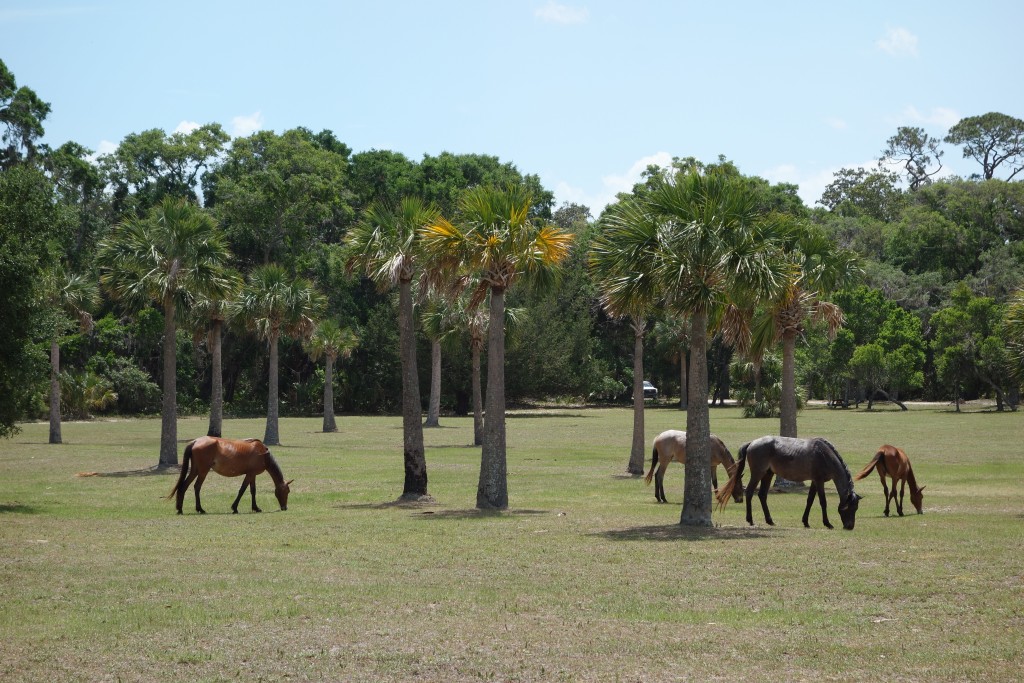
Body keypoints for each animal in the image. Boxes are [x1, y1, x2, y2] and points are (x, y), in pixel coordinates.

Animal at [716, 435, 862, 530]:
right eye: (850, 508)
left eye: (856, 508)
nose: (850, 526)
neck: (824, 455)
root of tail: (752, 443)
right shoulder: (819, 481)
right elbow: (822, 502)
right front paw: (827, 523)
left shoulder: (814, 481)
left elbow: (809, 500)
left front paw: (805, 522)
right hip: (758, 473)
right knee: (750, 492)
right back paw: (750, 520)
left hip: (768, 474)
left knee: (762, 495)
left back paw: (770, 520)